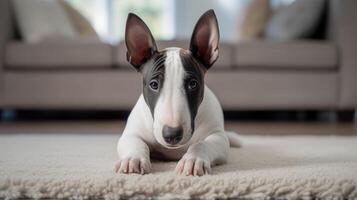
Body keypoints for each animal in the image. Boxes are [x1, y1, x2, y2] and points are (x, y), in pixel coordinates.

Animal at [114, 9, 241, 176]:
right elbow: (136, 143)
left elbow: (202, 144)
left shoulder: (219, 138)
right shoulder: (130, 135)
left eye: (193, 84)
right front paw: (132, 159)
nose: (172, 134)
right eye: (154, 84)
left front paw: (193, 160)